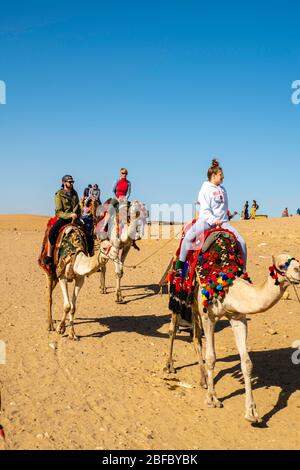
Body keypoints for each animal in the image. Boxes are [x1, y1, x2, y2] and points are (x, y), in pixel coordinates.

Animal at [165, 253, 300, 422]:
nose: (298, 271)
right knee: (173, 330)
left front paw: (251, 412)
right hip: (178, 297)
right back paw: (170, 366)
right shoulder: (209, 316)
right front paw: (212, 399)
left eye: (298, 261)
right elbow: (211, 358)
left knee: (196, 337)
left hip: (194, 306)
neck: (230, 289)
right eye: (281, 266)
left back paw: (203, 379)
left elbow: (247, 363)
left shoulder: (238, 317)